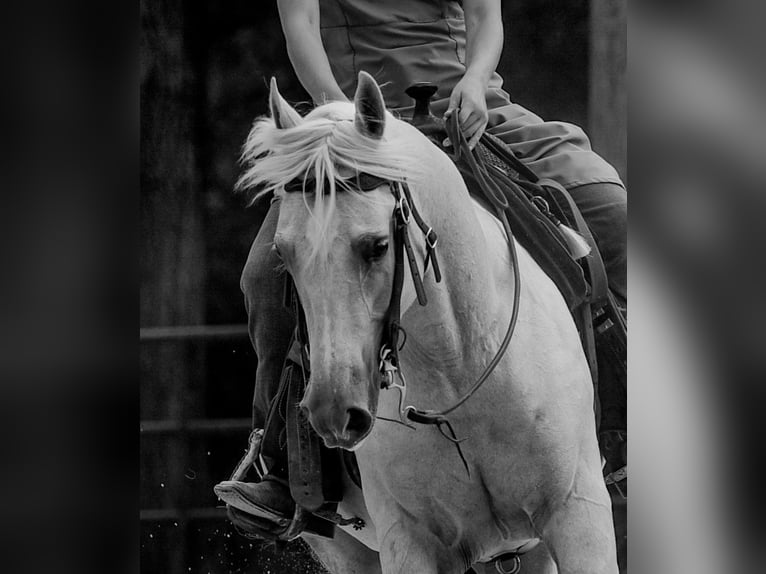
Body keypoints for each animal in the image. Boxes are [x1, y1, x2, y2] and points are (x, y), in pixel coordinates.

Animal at [237, 71, 618, 574]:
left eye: (377, 246)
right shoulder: (411, 542)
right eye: (283, 254)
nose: (334, 412)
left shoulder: (579, 514)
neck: (459, 367)